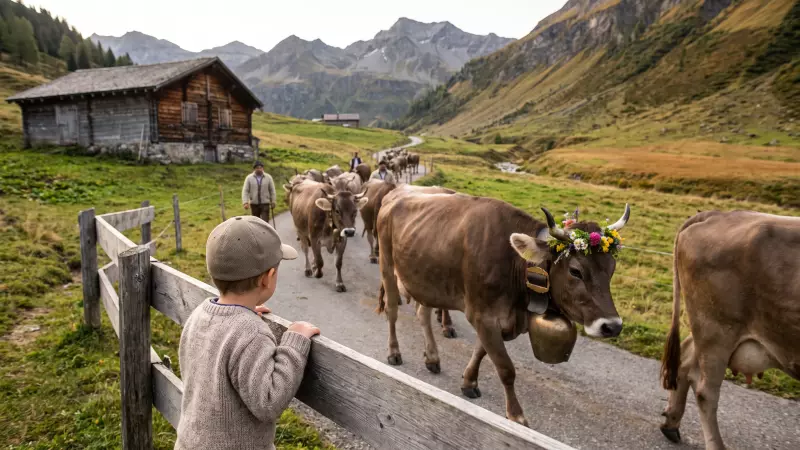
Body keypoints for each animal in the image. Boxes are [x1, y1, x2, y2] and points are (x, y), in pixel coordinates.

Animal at [377, 191, 629, 426]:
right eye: (575, 271)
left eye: (612, 268)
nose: (612, 326)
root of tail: (395, 195)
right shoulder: (481, 315)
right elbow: (506, 368)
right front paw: (516, 415)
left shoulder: (497, 319)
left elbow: (482, 350)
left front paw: (469, 381)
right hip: (387, 265)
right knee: (392, 311)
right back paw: (394, 352)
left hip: (426, 280)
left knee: (423, 314)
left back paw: (432, 357)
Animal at [660, 211, 800, 450]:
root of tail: (717, 214)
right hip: (717, 331)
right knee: (706, 392)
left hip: (707, 330)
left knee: (685, 356)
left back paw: (670, 423)